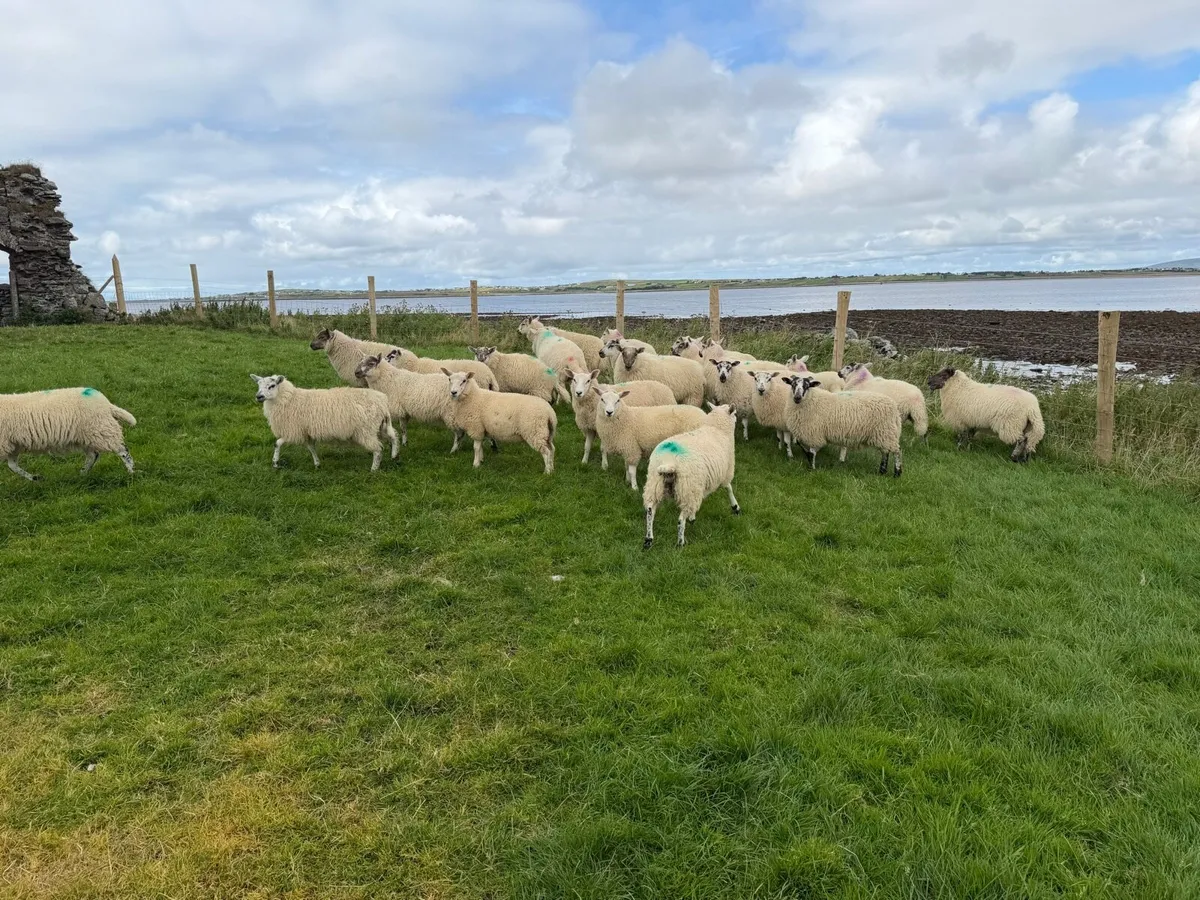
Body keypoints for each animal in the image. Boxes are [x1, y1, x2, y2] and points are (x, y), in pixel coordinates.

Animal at [1, 387, 136, 481]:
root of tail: (107, 404)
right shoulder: (11, 445)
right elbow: (12, 466)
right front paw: (35, 478)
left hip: (101, 430)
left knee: (122, 450)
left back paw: (132, 472)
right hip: (87, 436)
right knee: (93, 455)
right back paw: (82, 473)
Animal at [251, 375, 398, 471]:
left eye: (272, 385)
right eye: (258, 385)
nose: (259, 396)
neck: (289, 399)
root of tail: (383, 402)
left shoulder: (293, 431)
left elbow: (277, 443)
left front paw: (275, 463)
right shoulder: (306, 432)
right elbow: (311, 448)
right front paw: (317, 464)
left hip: (366, 431)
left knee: (378, 450)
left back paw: (374, 469)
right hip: (380, 426)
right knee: (394, 436)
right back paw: (395, 455)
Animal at [642, 403, 740, 549]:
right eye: (735, 414)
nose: (737, 420)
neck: (717, 429)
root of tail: (669, 462)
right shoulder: (725, 473)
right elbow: (729, 488)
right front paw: (735, 507)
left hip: (655, 484)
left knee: (650, 511)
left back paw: (649, 539)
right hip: (688, 488)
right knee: (680, 519)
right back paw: (680, 542)